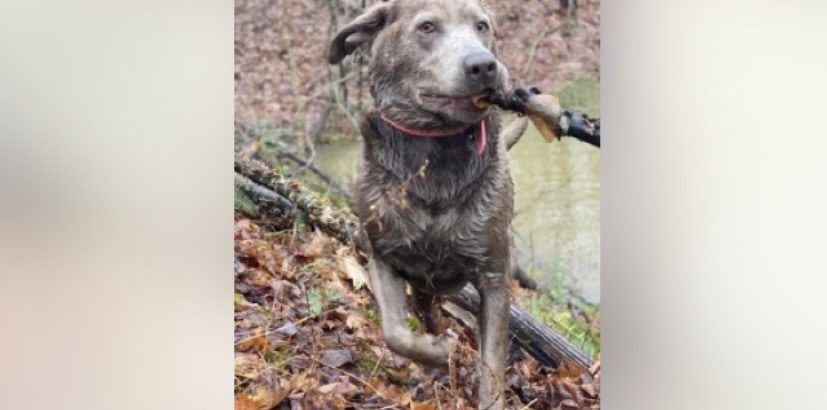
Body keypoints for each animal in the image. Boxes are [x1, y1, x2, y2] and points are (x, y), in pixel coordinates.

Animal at [329, 1, 530, 408]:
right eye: (427, 27)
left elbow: (492, 364)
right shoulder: (383, 254)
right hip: (419, 280)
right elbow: (395, 332)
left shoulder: (494, 275)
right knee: (426, 311)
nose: (484, 65)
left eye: (482, 26)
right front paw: (437, 352)